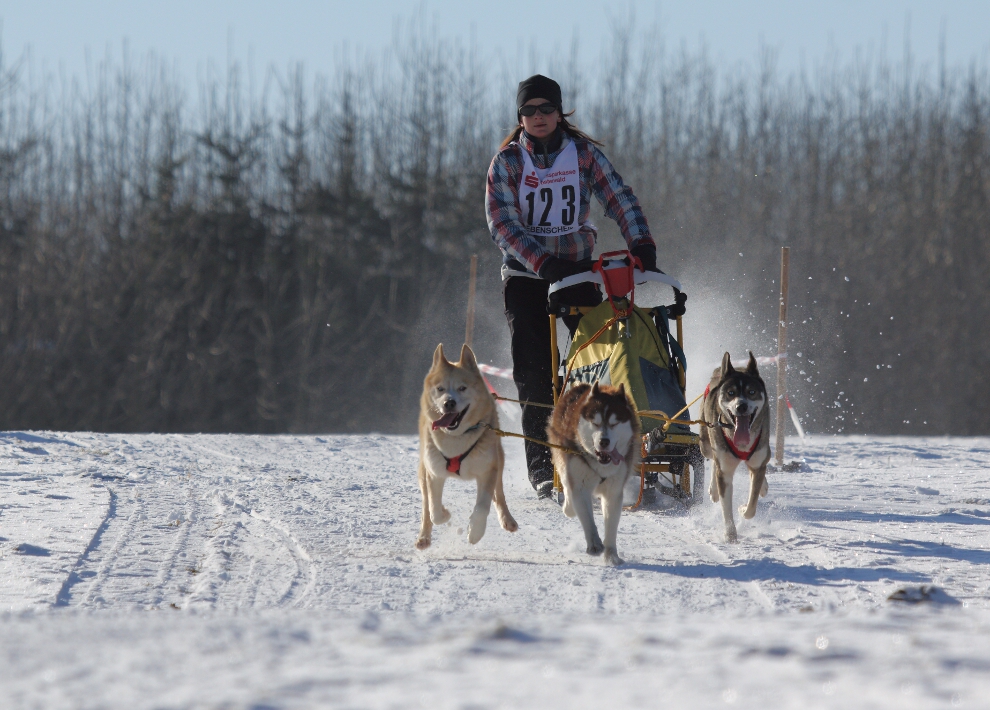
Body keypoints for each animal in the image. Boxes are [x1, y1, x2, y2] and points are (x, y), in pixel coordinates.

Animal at [414, 344, 520, 552]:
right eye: (440, 388)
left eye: (462, 388)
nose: (449, 402)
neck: (457, 438)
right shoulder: (434, 473)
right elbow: (434, 510)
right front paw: (445, 513)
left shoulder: (487, 470)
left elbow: (482, 507)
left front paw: (475, 531)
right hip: (424, 470)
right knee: (426, 508)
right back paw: (424, 537)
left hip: (498, 461)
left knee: (499, 494)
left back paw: (507, 520)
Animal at [548, 384, 640, 568]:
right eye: (595, 423)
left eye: (614, 423)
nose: (604, 441)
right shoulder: (580, 486)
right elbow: (587, 519)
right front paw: (595, 544)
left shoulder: (613, 492)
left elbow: (611, 527)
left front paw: (611, 556)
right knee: (567, 489)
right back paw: (568, 506)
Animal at [696, 354, 776, 544]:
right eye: (731, 393)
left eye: (751, 392)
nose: (741, 406)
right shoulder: (724, 471)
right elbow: (726, 507)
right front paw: (730, 534)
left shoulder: (757, 461)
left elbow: (751, 508)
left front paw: (742, 508)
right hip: (706, 444)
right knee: (714, 461)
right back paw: (713, 490)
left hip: (762, 454)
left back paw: (763, 487)